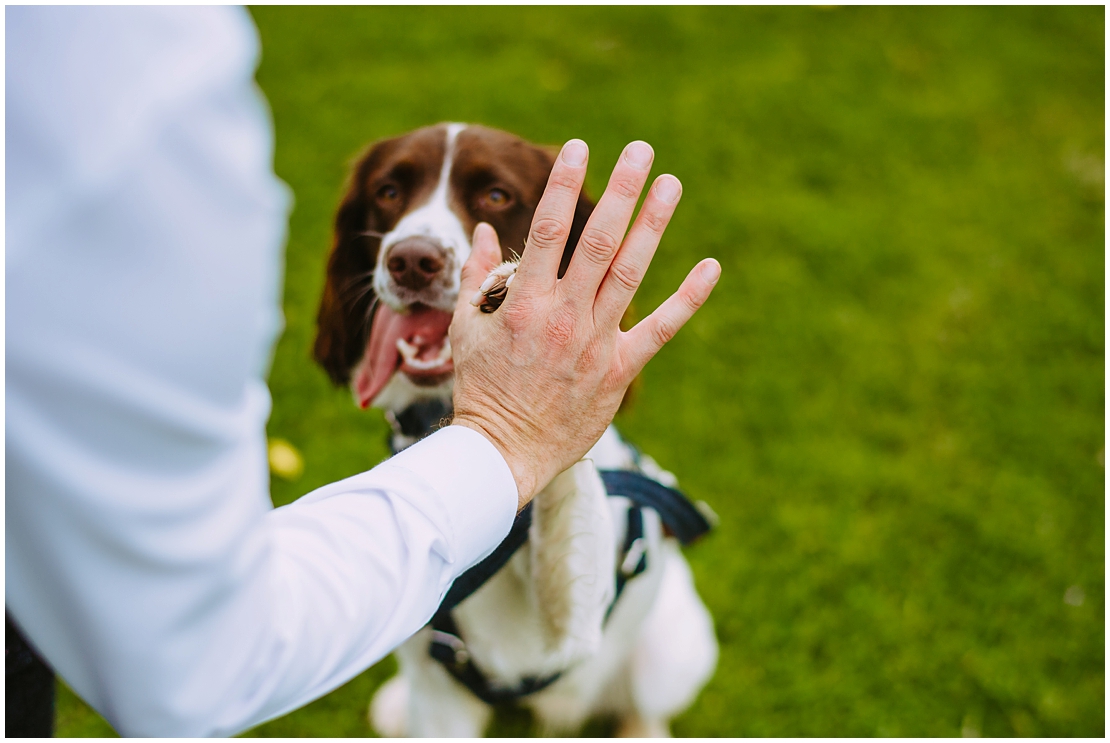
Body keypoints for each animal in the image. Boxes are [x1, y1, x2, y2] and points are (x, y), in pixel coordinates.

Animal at [313, 123, 714, 737]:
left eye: (497, 196)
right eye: (388, 191)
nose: (411, 261)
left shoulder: (580, 620)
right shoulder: (438, 687)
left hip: (674, 647)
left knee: (644, 705)